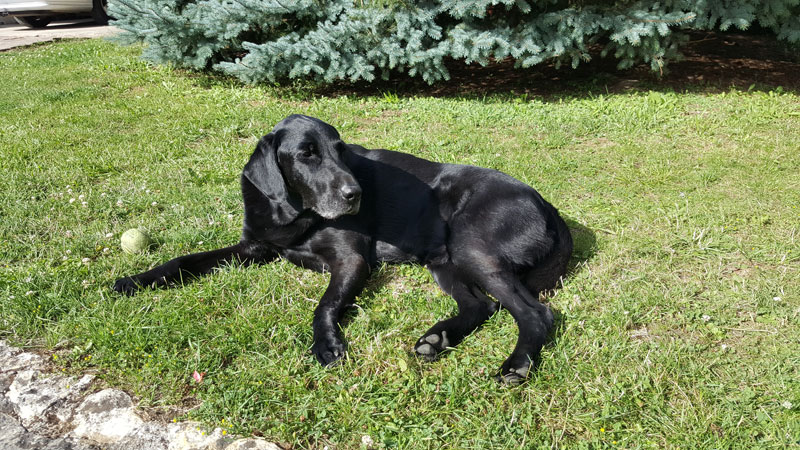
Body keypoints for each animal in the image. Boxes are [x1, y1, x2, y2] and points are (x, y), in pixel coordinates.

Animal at [114, 114, 576, 382]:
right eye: (307, 154)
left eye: (342, 152)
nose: (355, 194)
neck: (292, 212)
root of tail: (546, 204)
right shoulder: (253, 247)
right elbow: (185, 259)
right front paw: (137, 280)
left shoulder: (351, 259)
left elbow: (325, 303)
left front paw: (326, 343)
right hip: (444, 261)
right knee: (482, 306)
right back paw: (437, 338)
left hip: (471, 248)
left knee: (535, 312)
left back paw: (516, 365)